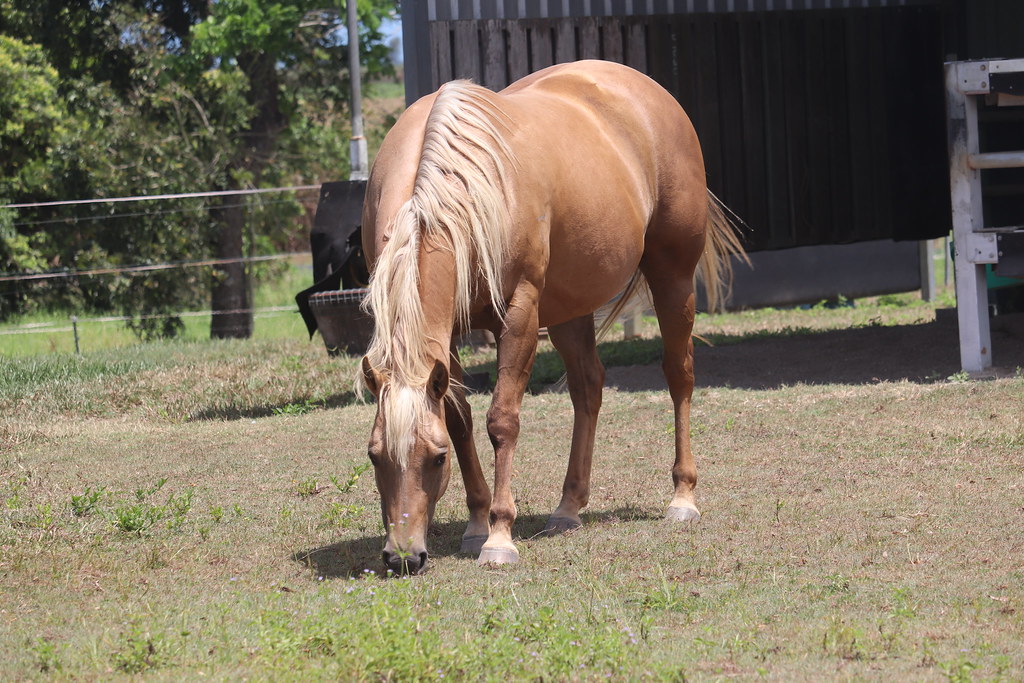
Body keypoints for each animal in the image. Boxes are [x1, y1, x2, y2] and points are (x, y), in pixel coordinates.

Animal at [357, 60, 746, 574]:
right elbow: (460, 419)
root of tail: (646, 89)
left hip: (672, 276)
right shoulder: (447, 336)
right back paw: (568, 507)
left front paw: (499, 536)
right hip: (568, 309)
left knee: (678, 374)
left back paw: (682, 497)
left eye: (436, 459)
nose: (404, 556)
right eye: (374, 456)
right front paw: (476, 523)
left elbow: (501, 420)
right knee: (588, 387)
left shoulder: (520, 314)